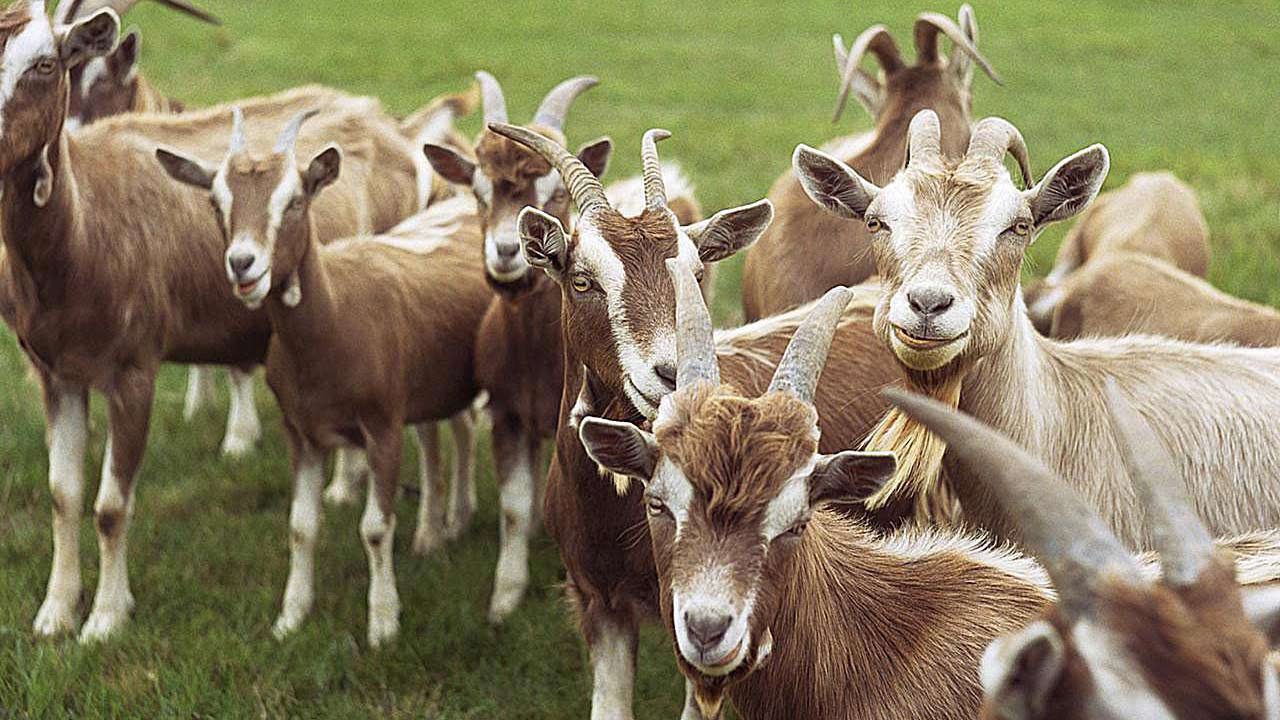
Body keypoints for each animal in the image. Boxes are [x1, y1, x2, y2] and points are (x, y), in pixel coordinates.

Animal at [0, 1, 426, 642]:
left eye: (47, 63)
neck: (84, 228)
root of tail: (386, 125)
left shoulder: (134, 371)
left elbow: (110, 507)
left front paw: (105, 618)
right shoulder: (57, 373)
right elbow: (62, 494)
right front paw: (55, 613)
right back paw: (345, 485)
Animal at [159, 115, 492, 647]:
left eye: (295, 200)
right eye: (216, 201)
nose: (243, 264)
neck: (337, 318)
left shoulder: (382, 428)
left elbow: (375, 527)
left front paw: (383, 623)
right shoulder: (302, 432)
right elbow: (301, 526)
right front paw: (291, 617)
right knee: (454, 430)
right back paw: (443, 528)